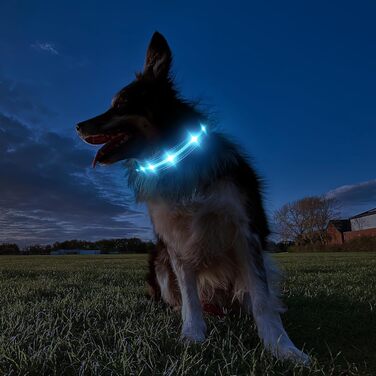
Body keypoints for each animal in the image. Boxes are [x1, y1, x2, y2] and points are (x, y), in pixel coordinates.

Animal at [75, 33, 308, 364]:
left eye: (120, 104)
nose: (77, 126)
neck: (174, 157)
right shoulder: (175, 241)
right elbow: (189, 298)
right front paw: (192, 336)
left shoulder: (246, 231)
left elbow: (262, 299)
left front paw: (282, 347)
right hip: (158, 261)